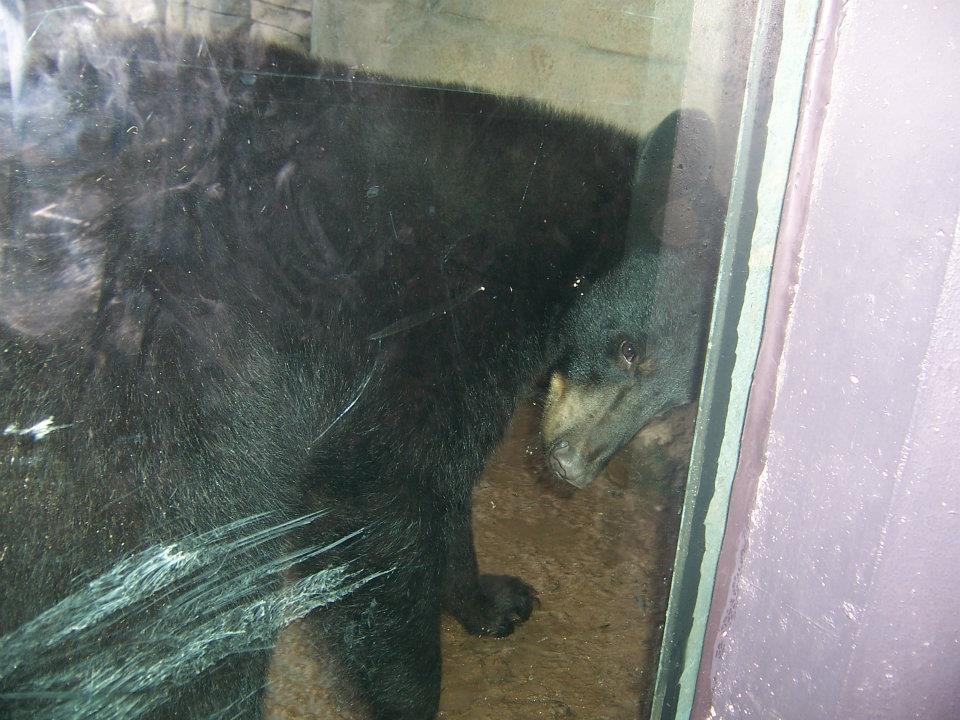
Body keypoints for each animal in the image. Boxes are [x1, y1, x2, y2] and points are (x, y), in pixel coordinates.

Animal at [0, 25, 716, 720]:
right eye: (629, 350)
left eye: (675, 400)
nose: (575, 466)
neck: (552, 245)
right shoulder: (426, 326)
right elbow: (379, 496)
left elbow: (440, 485)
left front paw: (490, 600)